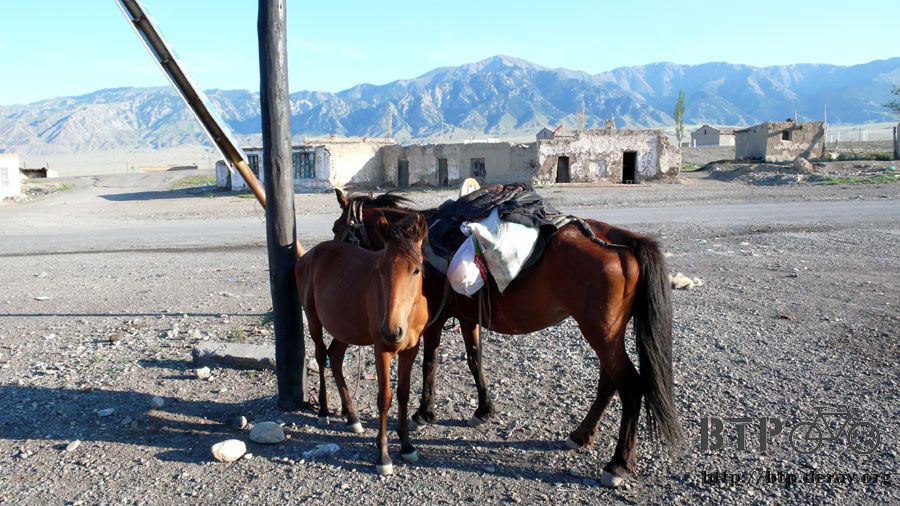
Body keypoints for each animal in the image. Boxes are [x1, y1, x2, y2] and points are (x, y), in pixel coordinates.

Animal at [295, 213, 429, 475]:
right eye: (380, 270)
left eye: (416, 270)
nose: (392, 331)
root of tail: (308, 255)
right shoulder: (382, 349)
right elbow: (385, 398)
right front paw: (383, 456)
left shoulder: (411, 349)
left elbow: (404, 393)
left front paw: (406, 445)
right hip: (314, 321)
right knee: (321, 357)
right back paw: (324, 411)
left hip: (345, 329)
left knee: (335, 357)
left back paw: (352, 416)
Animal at [331, 189, 683, 487]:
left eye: (339, 227)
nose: (336, 257)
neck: (418, 253)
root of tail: (623, 240)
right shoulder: (467, 316)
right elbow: (474, 359)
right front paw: (483, 410)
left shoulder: (433, 321)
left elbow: (430, 362)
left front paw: (424, 413)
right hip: (606, 333)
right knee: (609, 382)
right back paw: (581, 435)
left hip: (601, 332)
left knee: (630, 386)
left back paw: (618, 464)